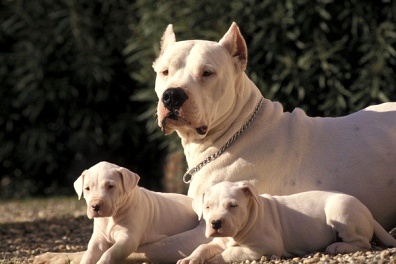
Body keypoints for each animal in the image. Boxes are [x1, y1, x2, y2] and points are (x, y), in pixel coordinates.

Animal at [178, 182, 396, 264]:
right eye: (207, 207)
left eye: (233, 206)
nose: (215, 223)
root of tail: (365, 209)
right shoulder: (218, 241)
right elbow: (203, 247)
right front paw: (190, 258)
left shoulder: (263, 247)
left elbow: (230, 253)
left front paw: (214, 260)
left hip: (341, 209)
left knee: (363, 242)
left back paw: (337, 247)